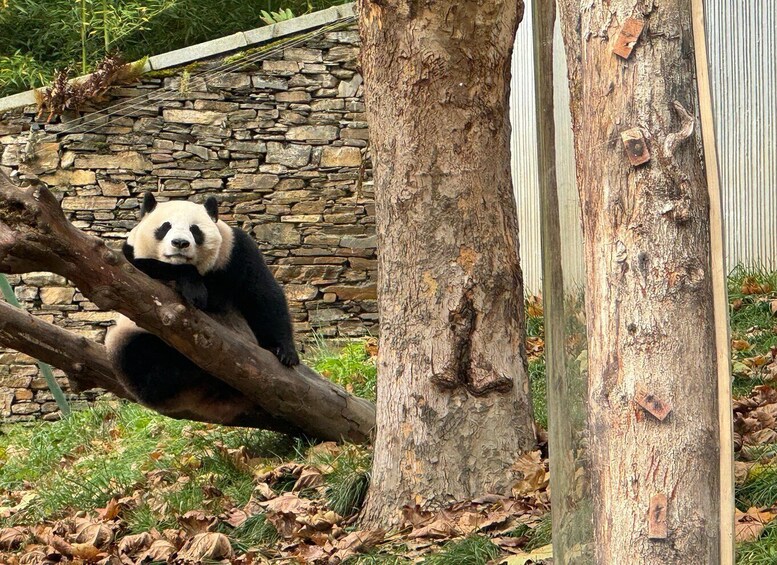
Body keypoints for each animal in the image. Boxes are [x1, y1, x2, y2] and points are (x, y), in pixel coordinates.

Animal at [105, 192, 299, 424]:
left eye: (195, 230)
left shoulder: (234, 250)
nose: (180, 243)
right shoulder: (127, 260)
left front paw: (285, 352)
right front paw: (194, 288)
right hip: (128, 342)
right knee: (141, 361)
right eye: (165, 227)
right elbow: (145, 266)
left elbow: (262, 295)